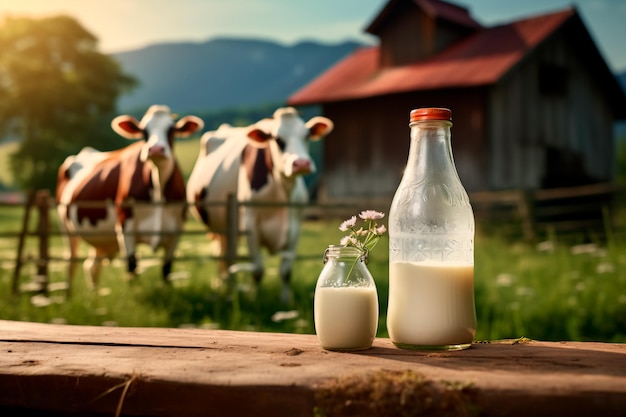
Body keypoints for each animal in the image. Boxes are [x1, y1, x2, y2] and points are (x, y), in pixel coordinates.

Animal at [55, 105, 202, 290]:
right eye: (144, 132)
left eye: (172, 130)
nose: (155, 150)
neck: (158, 189)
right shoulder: (125, 226)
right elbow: (132, 266)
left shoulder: (176, 230)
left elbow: (167, 269)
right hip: (66, 229)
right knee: (71, 263)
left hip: (100, 239)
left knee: (91, 266)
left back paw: (95, 293)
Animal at [184, 107, 332, 302]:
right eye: (277, 139)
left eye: (307, 135)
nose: (301, 163)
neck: (282, 192)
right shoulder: (251, 225)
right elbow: (258, 269)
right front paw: (254, 298)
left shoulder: (295, 227)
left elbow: (286, 271)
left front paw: (285, 300)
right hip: (219, 227)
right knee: (222, 255)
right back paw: (223, 285)